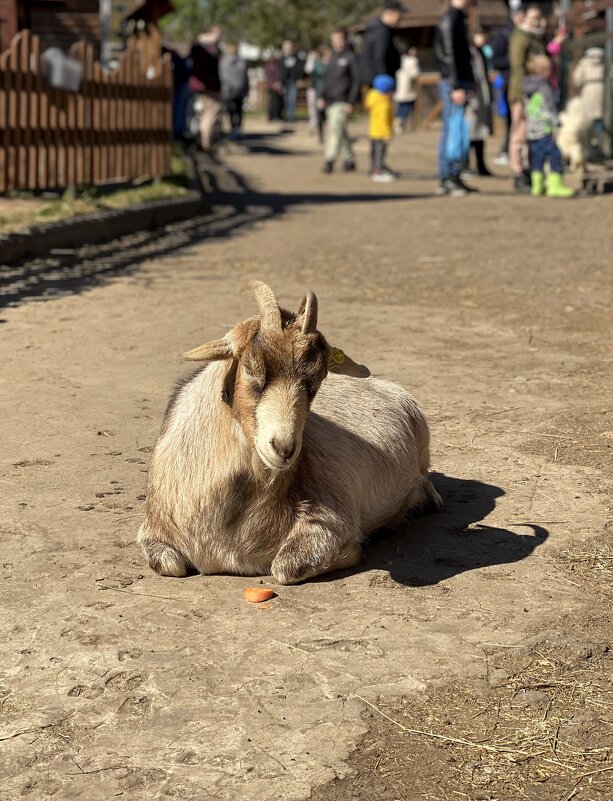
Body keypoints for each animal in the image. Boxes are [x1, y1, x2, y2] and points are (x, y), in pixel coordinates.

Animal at [137, 282, 440, 580]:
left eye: (317, 379)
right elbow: (170, 565)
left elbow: (286, 567)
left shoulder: (329, 517)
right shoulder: (154, 533)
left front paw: (351, 552)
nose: (283, 448)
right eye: (250, 367)